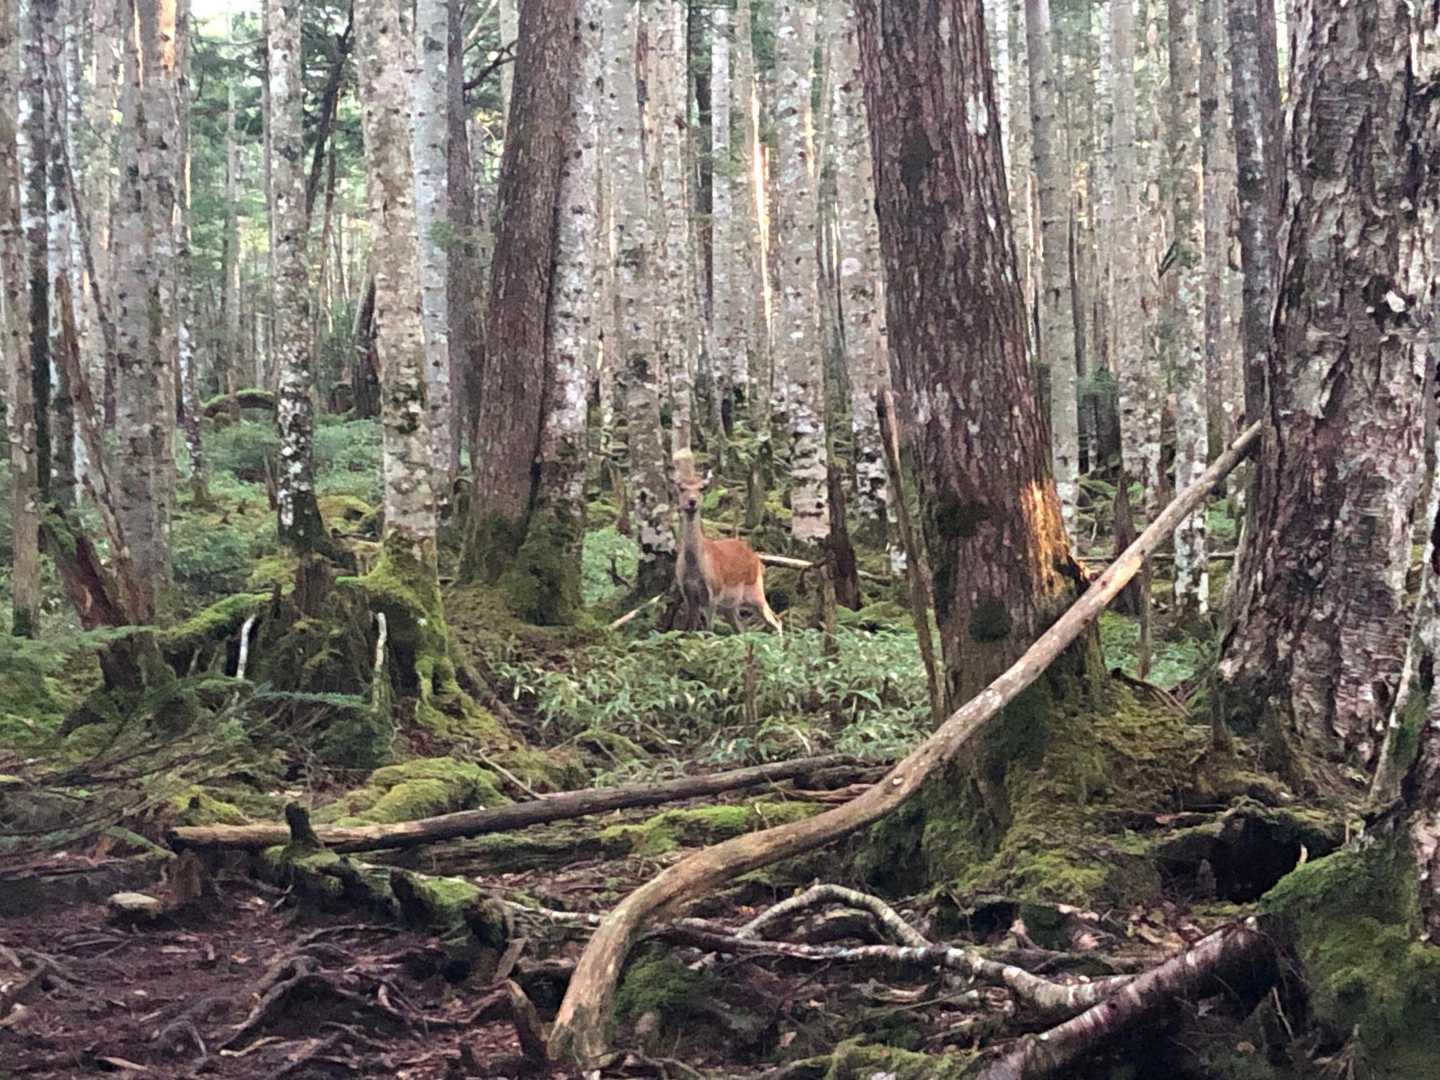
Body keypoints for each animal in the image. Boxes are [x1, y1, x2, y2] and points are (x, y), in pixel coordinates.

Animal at [673, 450, 783, 636]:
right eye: (681, 487)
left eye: (702, 488)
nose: (692, 501)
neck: (694, 565)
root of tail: (757, 558)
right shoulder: (688, 593)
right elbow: (690, 629)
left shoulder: (714, 592)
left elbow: (709, 630)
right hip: (730, 606)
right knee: (742, 628)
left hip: (755, 589)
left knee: (776, 620)